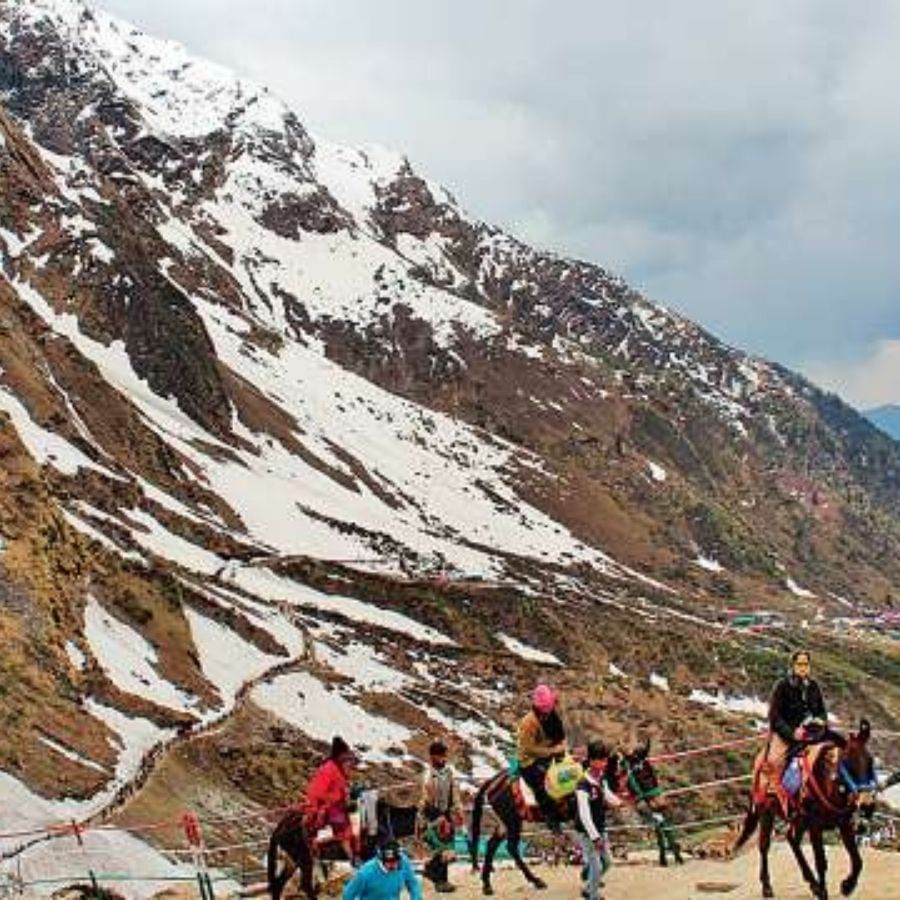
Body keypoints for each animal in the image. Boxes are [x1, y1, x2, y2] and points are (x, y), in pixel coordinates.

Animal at [736, 716, 876, 900]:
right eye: (847, 765)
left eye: (870, 762)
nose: (867, 804)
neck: (830, 785)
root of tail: (759, 761)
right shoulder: (815, 825)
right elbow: (821, 861)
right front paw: (824, 892)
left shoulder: (844, 823)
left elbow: (857, 860)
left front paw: (847, 886)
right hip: (766, 811)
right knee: (765, 845)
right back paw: (767, 887)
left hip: (798, 819)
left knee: (792, 838)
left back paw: (812, 883)